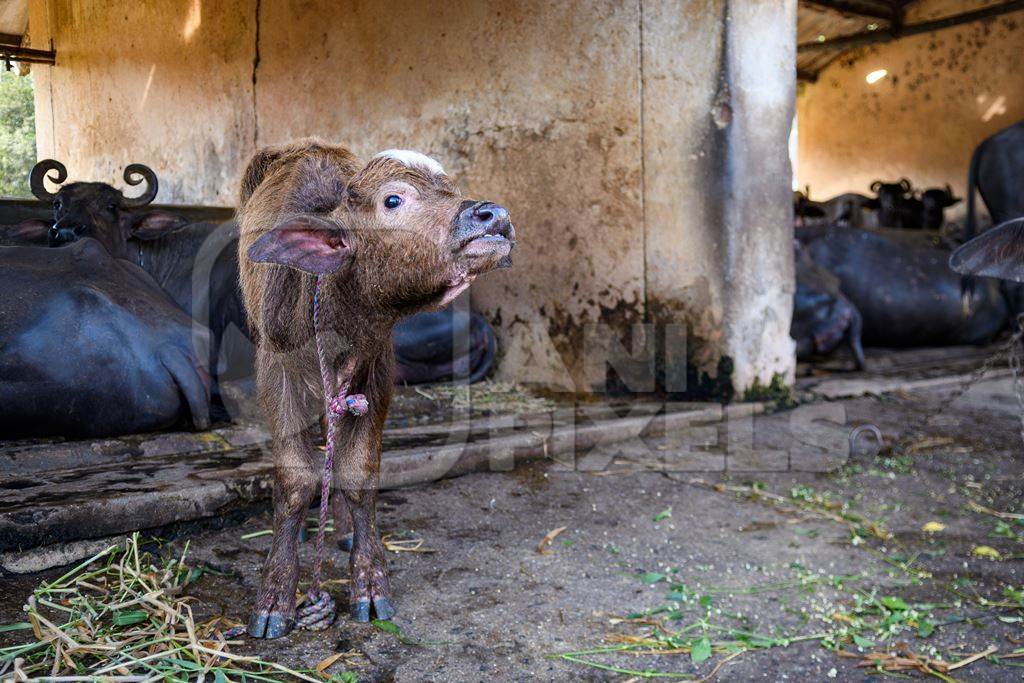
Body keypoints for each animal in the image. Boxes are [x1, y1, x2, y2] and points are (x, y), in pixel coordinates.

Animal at [236, 141, 516, 638]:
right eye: (393, 200)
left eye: (451, 189)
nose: (492, 214)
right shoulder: (276, 373)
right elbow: (295, 479)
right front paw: (274, 597)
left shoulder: (376, 375)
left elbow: (358, 473)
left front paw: (369, 583)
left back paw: (344, 529)